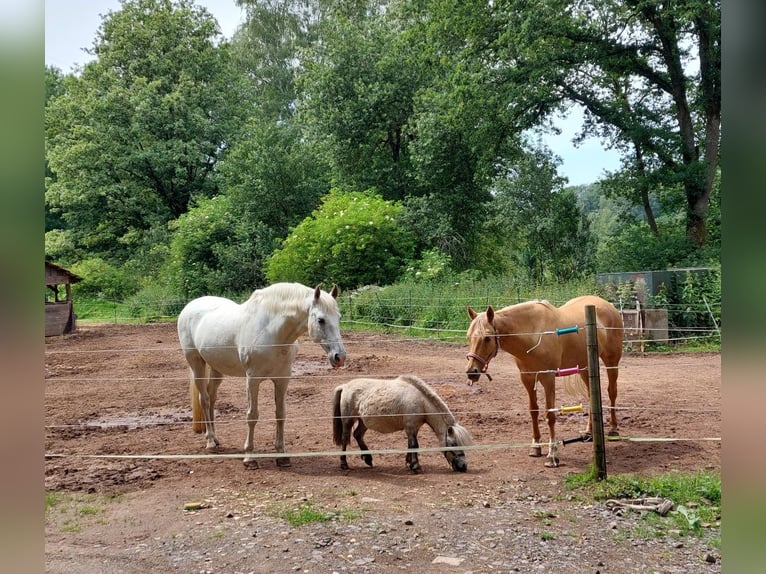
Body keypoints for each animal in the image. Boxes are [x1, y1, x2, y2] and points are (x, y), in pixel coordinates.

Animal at [334, 376, 474, 474]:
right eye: (454, 444)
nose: (463, 466)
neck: (421, 402)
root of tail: (345, 386)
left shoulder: (413, 428)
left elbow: (411, 445)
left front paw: (409, 463)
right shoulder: (410, 427)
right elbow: (415, 445)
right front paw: (416, 466)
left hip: (363, 421)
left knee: (357, 435)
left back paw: (368, 459)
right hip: (348, 420)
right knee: (345, 439)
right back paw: (344, 464)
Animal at [468, 296, 624, 468]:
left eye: (487, 338)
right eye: (469, 337)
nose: (471, 372)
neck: (533, 333)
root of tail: (607, 305)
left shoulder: (548, 379)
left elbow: (550, 415)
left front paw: (552, 455)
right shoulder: (527, 379)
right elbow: (533, 411)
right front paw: (535, 447)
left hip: (611, 361)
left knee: (612, 392)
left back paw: (614, 430)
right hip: (585, 367)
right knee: (592, 396)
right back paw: (589, 432)